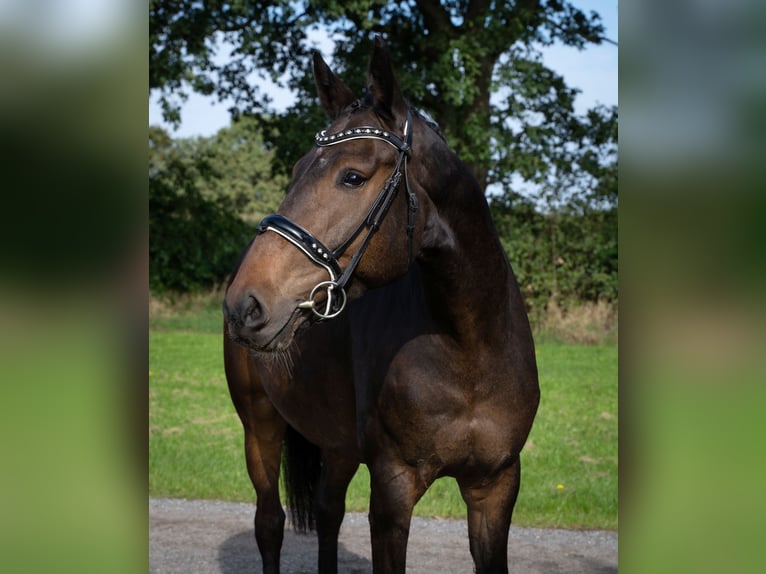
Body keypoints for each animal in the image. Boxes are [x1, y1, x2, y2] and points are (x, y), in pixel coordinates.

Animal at [222, 37, 539, 574]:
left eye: (352, 177)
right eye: (295, 171)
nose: (245, 305)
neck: (469, 348)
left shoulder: (496, 487)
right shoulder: (393, 490)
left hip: (338, 444)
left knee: (328, 511)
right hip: (259, 425)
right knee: (270, 523)